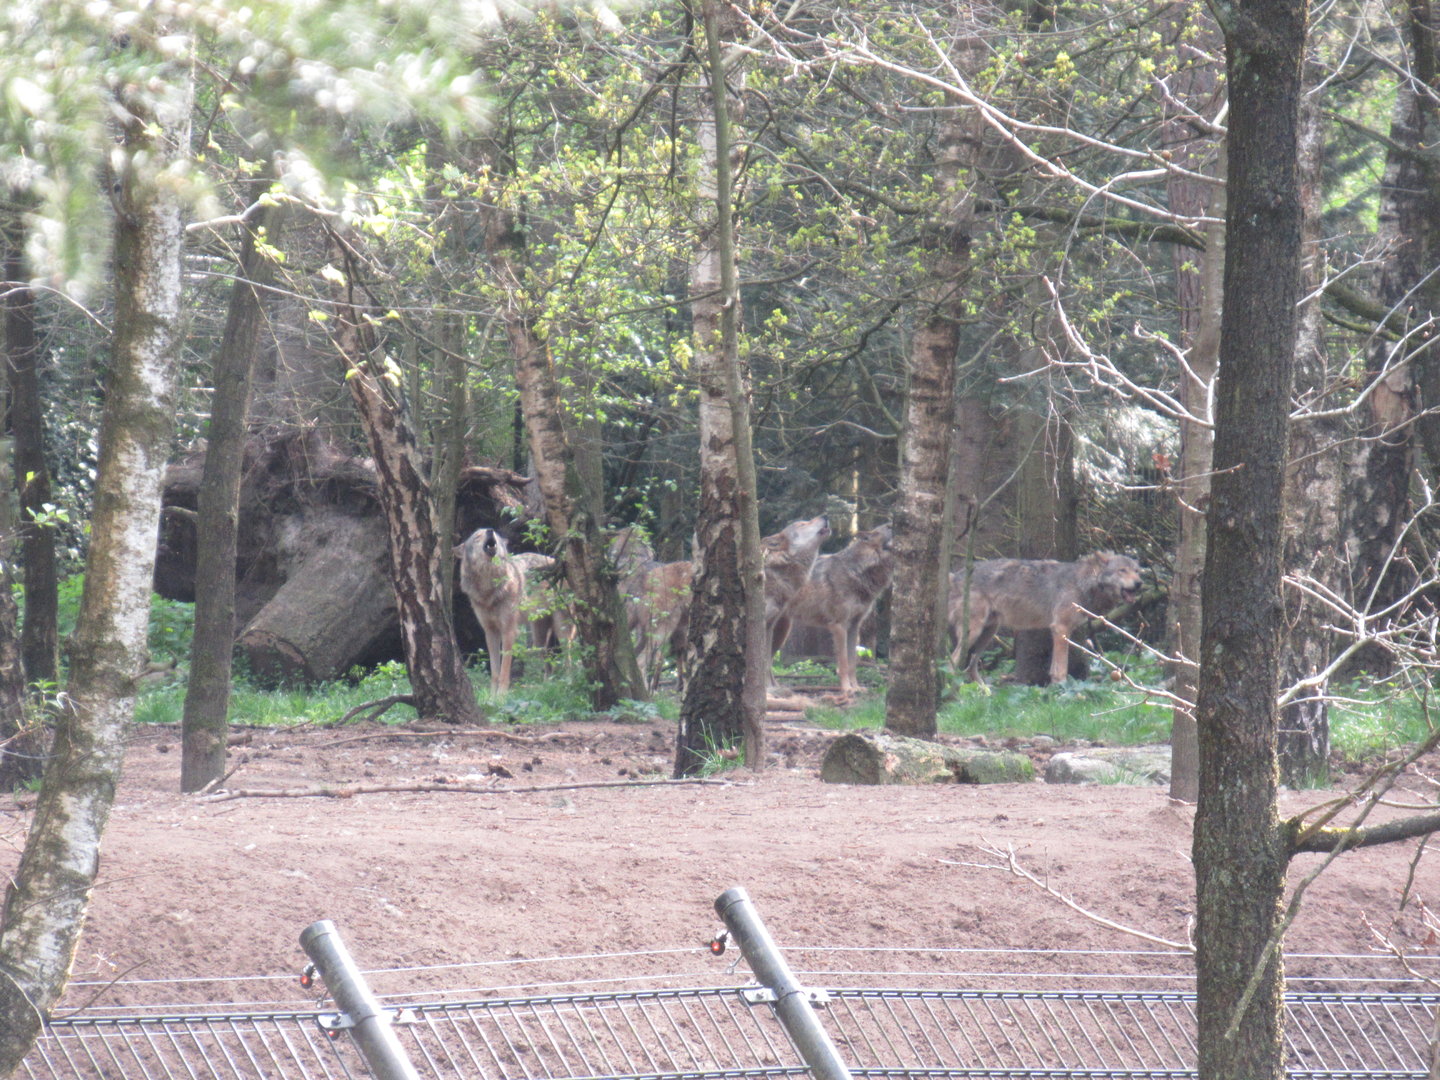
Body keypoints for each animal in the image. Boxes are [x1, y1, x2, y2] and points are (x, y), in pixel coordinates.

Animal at [771, 523, 893, 694]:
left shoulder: (854, 627)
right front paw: (847, 689)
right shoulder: (838, 626)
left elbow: (852, 663)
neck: (858, 571)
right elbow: (843, 662)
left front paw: (856, 687)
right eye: (889, 526)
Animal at [949, 551, 1144, 686]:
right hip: (974, 632)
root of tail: (954, 575)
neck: (1083, 582)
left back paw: (984, 694)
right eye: (1122, 570)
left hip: (987, 635)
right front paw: (1062, 690)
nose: (1139, 583)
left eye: (1136, 571)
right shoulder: (1060, 628)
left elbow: (1054, 668)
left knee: (970, 667)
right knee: (952, 661)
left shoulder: (1061, 631)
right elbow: (1061, 668)